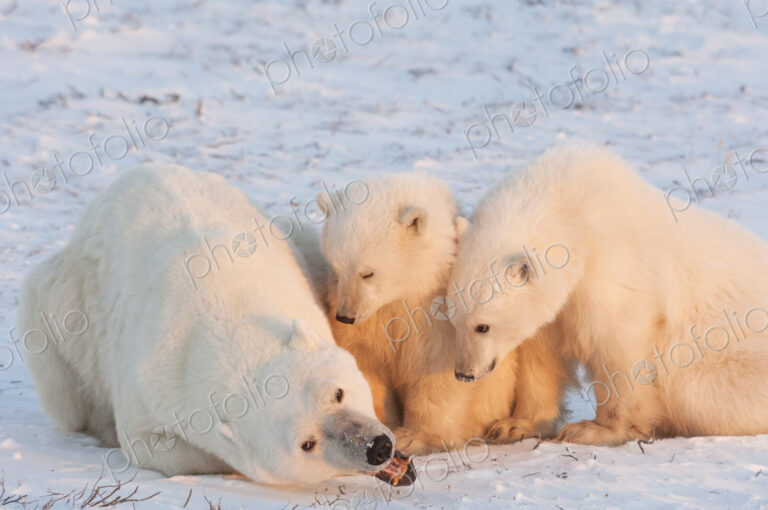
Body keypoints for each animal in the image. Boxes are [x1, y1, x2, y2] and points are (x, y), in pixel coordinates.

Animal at [17, 164, 397, 485]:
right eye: (307, 443)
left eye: (337, 393)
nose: (376, 447)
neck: (221, 316)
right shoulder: (149, 387)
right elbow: (150, 444)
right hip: (68, 302)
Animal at [312, 173, 571, 455]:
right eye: (337, 268)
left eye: (367, 272)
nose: (345, 315)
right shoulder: (368, 322)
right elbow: (365, 364)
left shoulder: (435, 317)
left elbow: (437, 372)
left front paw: (414, 437)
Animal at [448, 143, 768, 446]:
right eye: (454, 321)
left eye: (483, 326)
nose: (464, 373)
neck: (572, 210)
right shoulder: (557, 304)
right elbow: (539, 355)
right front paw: (514, 425)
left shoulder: (614, 267)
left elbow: (616, 344)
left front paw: (593, 430)